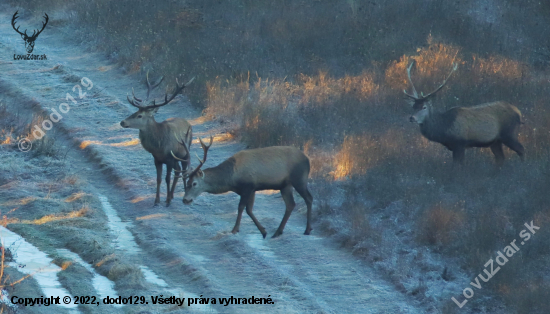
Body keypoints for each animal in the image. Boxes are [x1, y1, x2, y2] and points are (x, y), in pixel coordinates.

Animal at [121, 73, 196, 206]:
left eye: (140, 115)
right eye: (136, 111)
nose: (122, 122)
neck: (159, 146)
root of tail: (187, 122)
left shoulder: (170, 158)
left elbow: (167, 178)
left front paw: (167, 201)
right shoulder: (157, 159)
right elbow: (159, 179)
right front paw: (157, 200)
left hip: (186, 150)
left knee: (183, 169)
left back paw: (179, 193)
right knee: (178, 170)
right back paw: (172, 195)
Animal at [170, 139, 312, 239]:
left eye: (194, 183)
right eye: (187, 182)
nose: (185, 200)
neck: (232, 179)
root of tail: (308, 160)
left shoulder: (248, 186)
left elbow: (241, 208)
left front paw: (234, 230)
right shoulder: (252, 189)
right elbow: (249, 210)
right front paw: (263, 231)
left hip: (299, 178)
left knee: (309, 198)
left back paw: (307, 230)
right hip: (285, 185)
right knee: (290, 204)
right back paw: (277, 232)